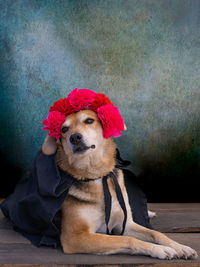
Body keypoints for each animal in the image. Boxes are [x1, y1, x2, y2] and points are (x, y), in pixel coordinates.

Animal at [41, 108, 197, 260]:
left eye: (89, 120)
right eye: (64, 129)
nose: (74, 137)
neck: (97, 175)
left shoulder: (125, 224)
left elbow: (157, 233)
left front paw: (181, 247)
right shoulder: (75, 237)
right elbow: (128, 240)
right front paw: (160, 249)